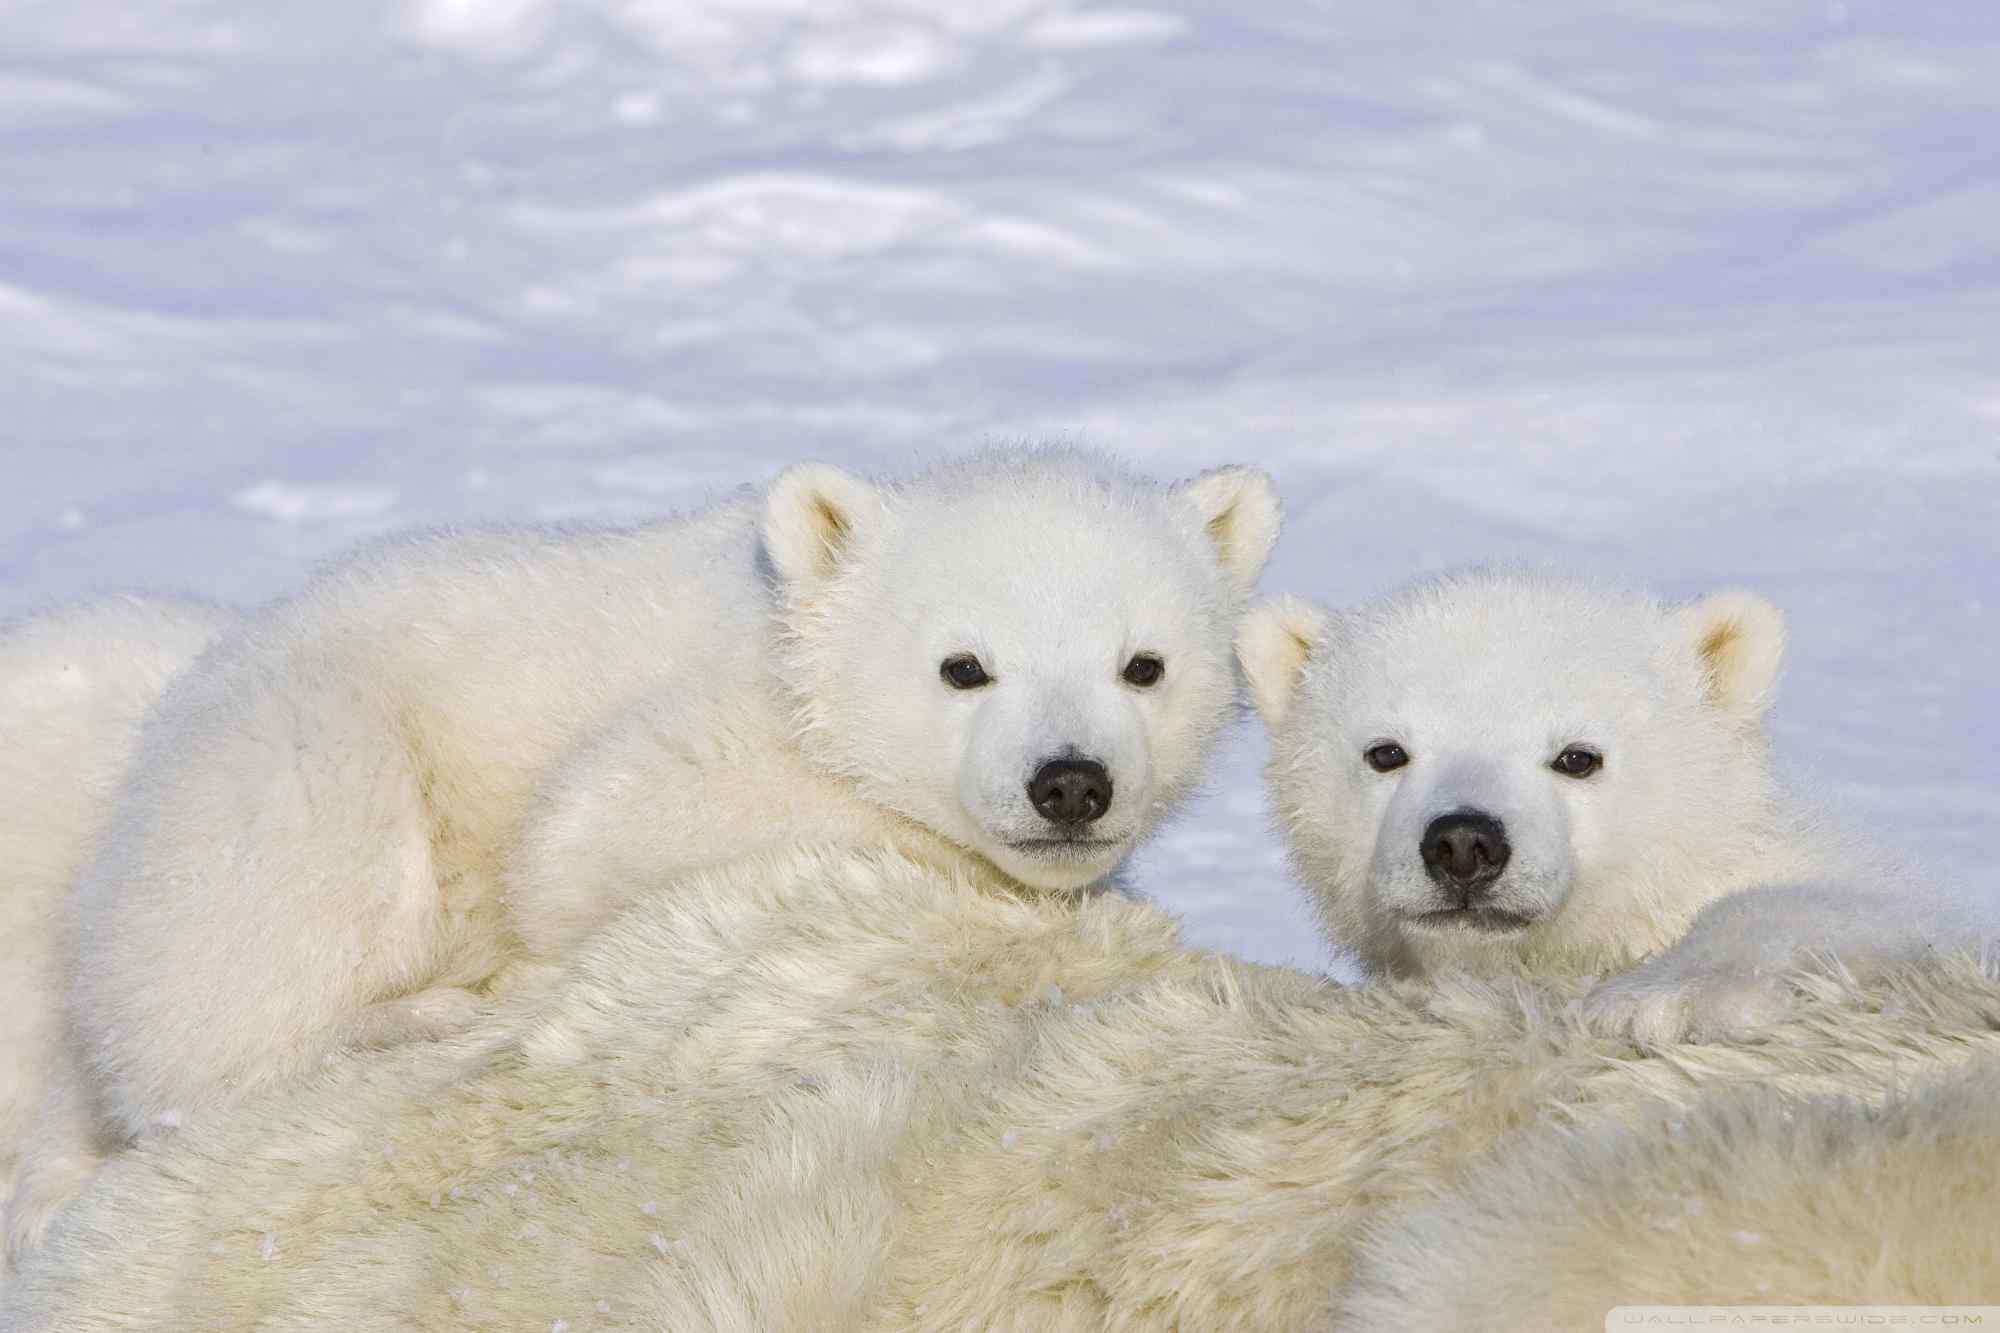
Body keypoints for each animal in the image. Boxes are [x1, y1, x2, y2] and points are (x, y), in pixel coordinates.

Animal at [7, 444, 1272, 1256]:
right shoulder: (701, 736)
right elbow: (597, 834)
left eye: (1143, 663)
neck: (791, 638)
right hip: (298, 749)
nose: (1069, 782)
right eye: (963, 664)